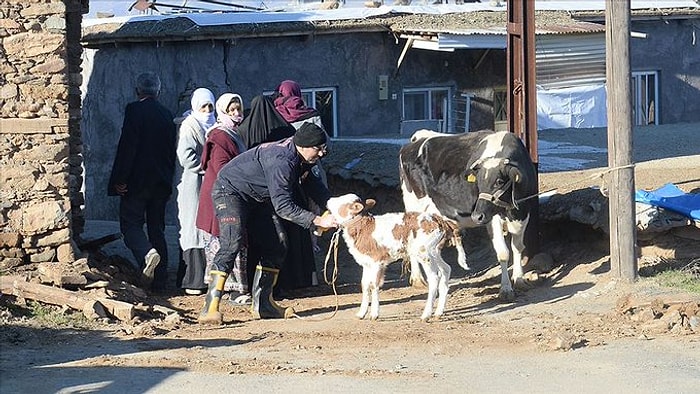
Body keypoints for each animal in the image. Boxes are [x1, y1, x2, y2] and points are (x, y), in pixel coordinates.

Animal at [326, 193, 468, 320]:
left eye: (342, 200)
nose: (329, 199)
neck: (364, 228)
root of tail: (439, 220)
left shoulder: (377, 261)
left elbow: (374, 285)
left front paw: (374, 314)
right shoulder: (366, 262)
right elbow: (365, 284)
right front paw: (361, 314)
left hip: (424, 252)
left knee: (434, 277)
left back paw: (426, 315)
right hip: (434, 251)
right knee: (446, 269)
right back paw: (438, 313)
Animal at [396, 129, 540, 298]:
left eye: (499, 181)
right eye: (478, 183)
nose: (477, 216)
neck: (512, 211)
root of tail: (418, 137)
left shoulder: (524, 213)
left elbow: (517, 247)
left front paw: (519, 280)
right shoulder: (492, 218)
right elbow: (503, 252)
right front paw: (506, 289)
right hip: (413, 206)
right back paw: (418, 280)